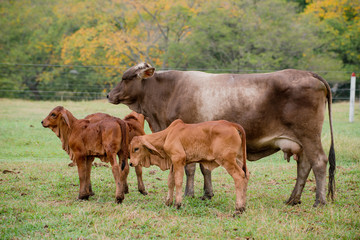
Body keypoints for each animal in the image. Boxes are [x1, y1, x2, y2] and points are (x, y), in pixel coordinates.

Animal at [108, 62, 336, 206]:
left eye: (125, 78)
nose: (109, 94)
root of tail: (309, 74)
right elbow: (204, 168)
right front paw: (206, 194)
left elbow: (191, 169)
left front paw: (190, 193)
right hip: (300, 142)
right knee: (304, 166)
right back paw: (293, 199)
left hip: (309, 135)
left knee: (319, 162)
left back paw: (319, 201)